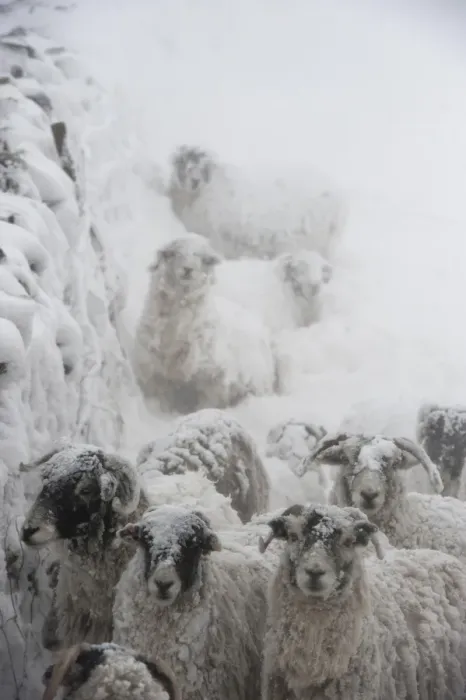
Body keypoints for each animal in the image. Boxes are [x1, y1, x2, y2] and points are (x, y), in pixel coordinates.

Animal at [133, 233, 286, 413]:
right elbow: (162, 400)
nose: (188, 270)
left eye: (205, 259)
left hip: (256, 383)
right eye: (173, 253)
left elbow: (206, 405)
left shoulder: (213, 380)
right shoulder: (155, 374)